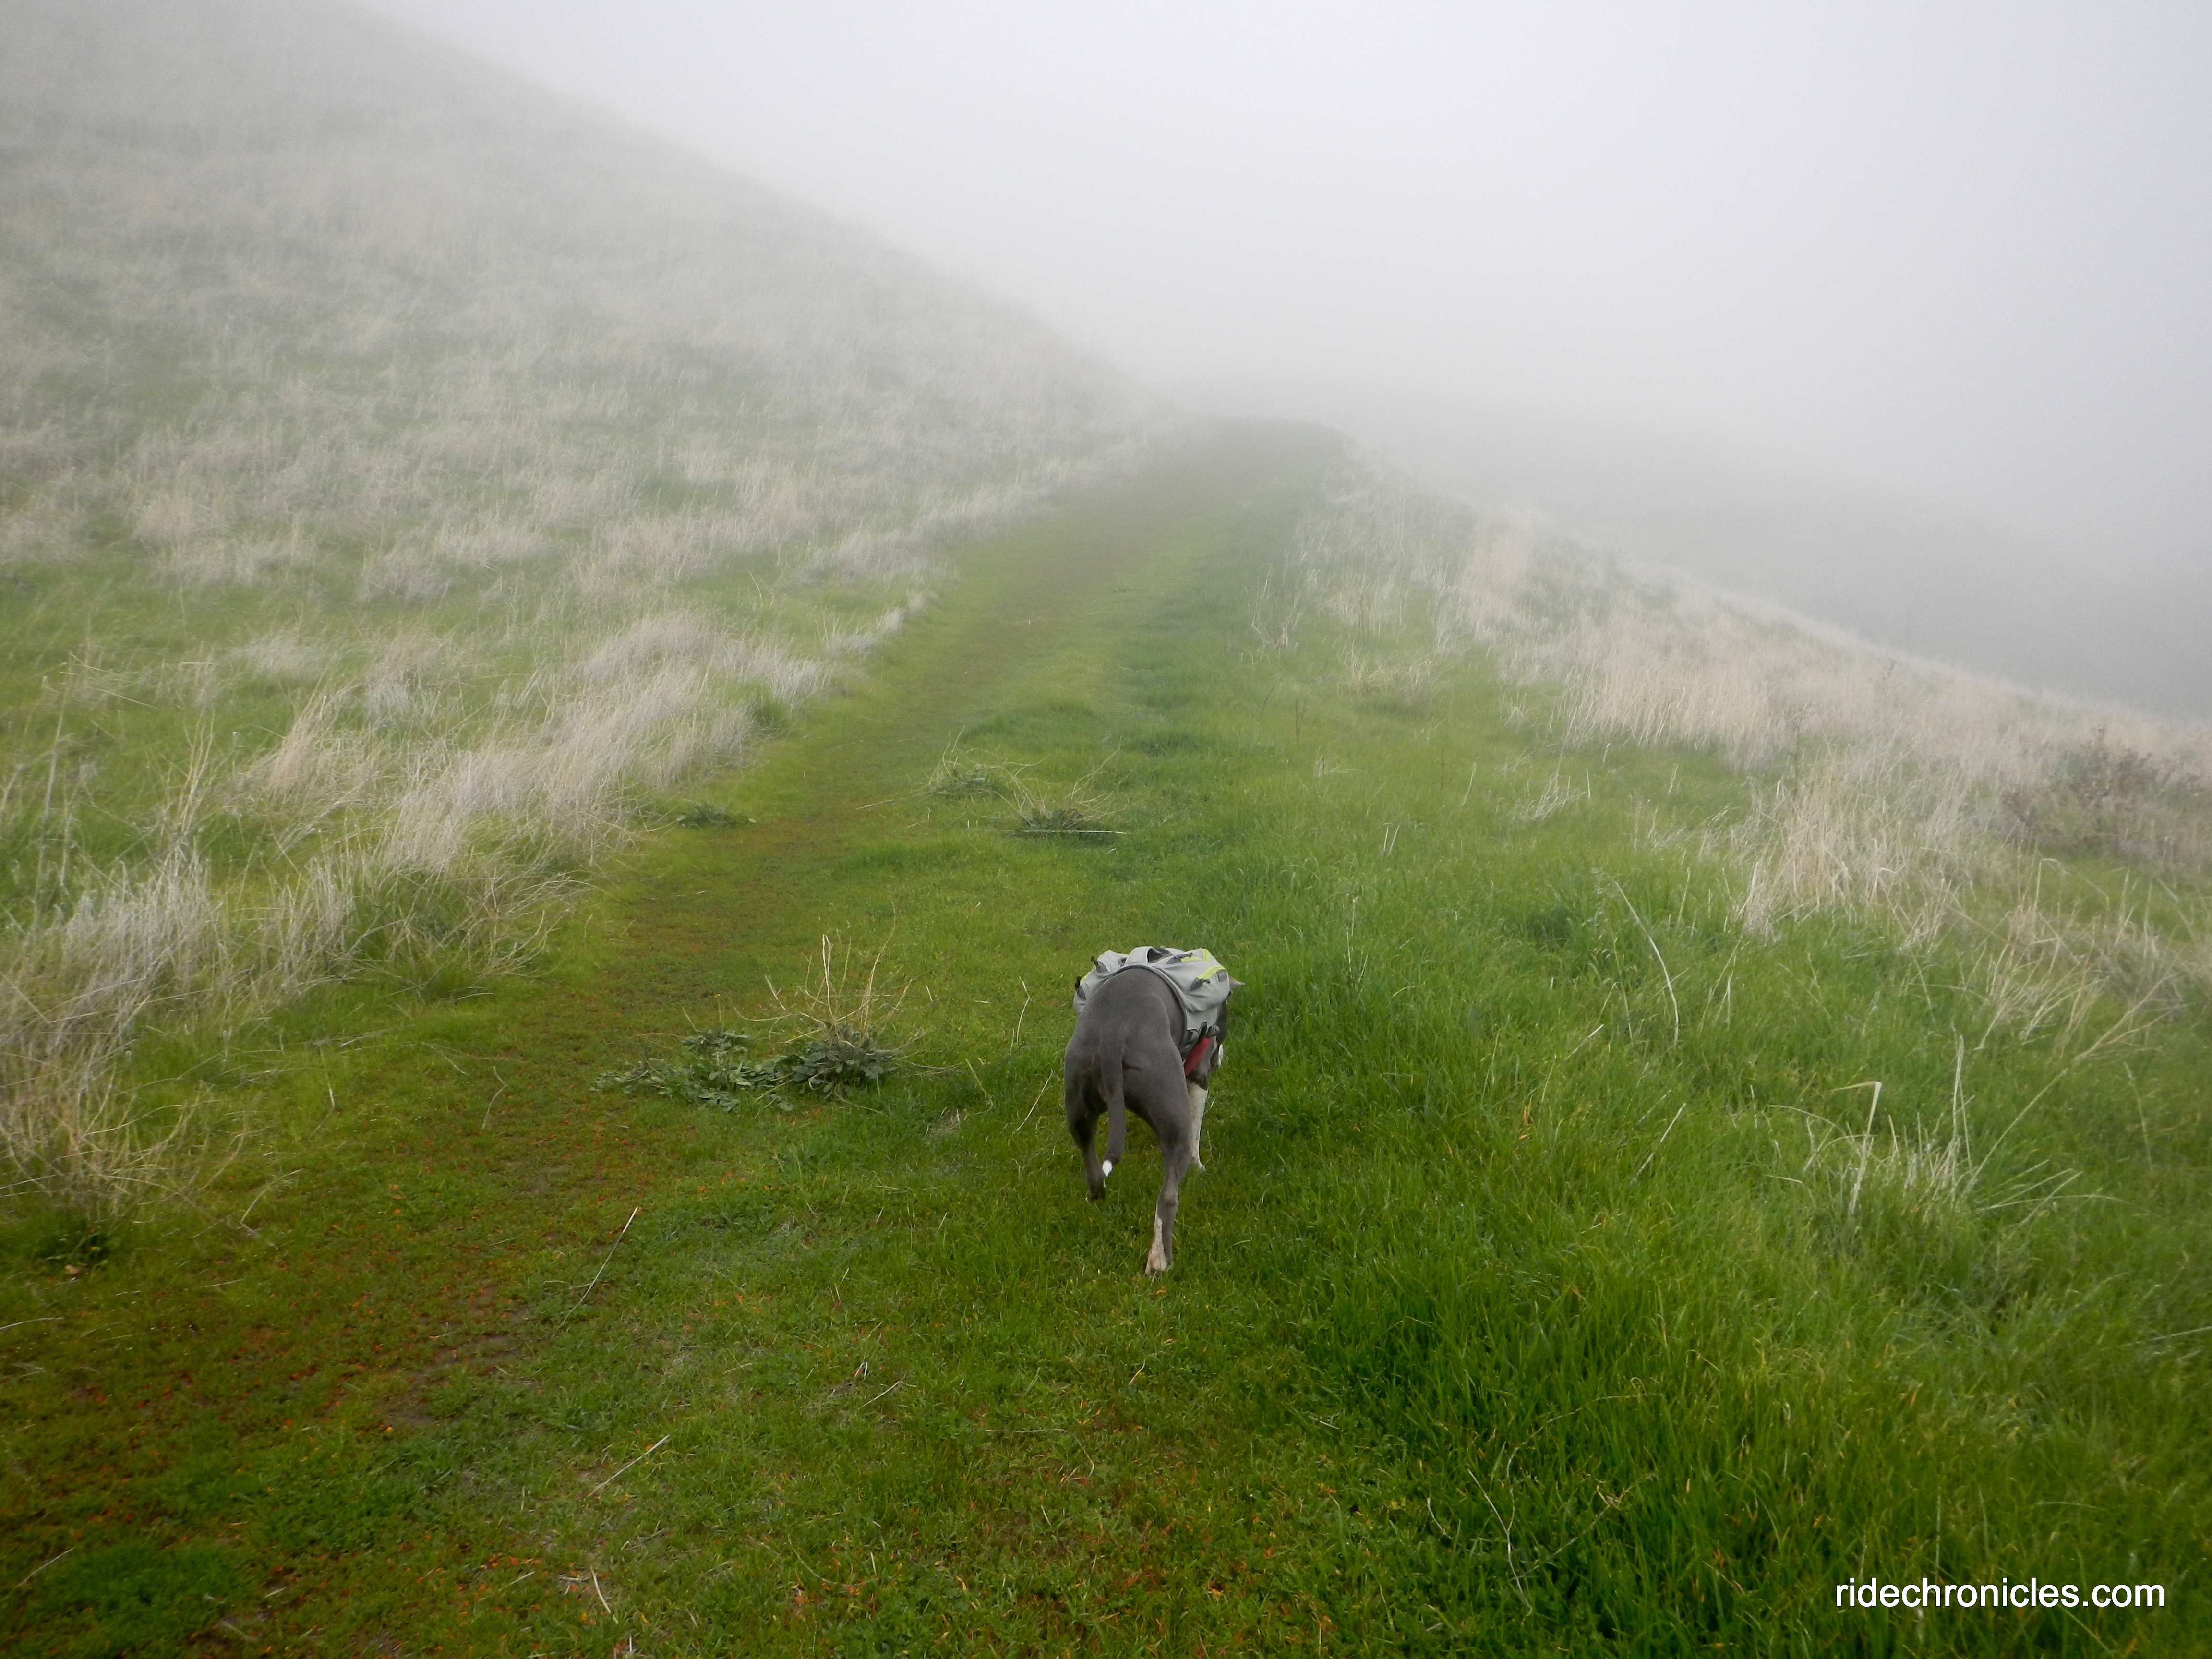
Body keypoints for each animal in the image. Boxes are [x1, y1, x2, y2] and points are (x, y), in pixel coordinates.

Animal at [1063, 948, 1237, 1273]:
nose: (1222, 1057)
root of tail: (1114, 1034)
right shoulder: (1198, 1075)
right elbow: (1197, 1131)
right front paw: (1200, 1168)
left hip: (1078, 1109)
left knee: (1092, 1168)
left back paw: (1098, 1198)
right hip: (1174, 1122)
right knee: (1168, 1198)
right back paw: (1159, 1261)